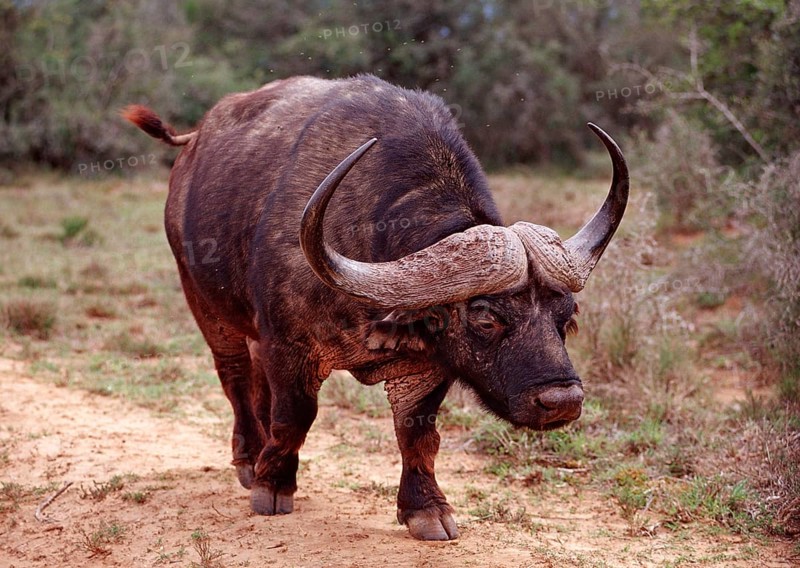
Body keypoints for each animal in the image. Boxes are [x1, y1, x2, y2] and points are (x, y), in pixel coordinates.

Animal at [124, 74, 629, 541]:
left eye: (567, 317)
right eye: (485, 316)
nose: (562, 402)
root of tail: (193, 143)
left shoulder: (425, 367)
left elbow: (418, 434)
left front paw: (426, 509)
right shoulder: (289, 346)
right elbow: (295, 416)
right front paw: (273, 484)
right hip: (207, 305)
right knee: (234, 376)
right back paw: (250, 457)